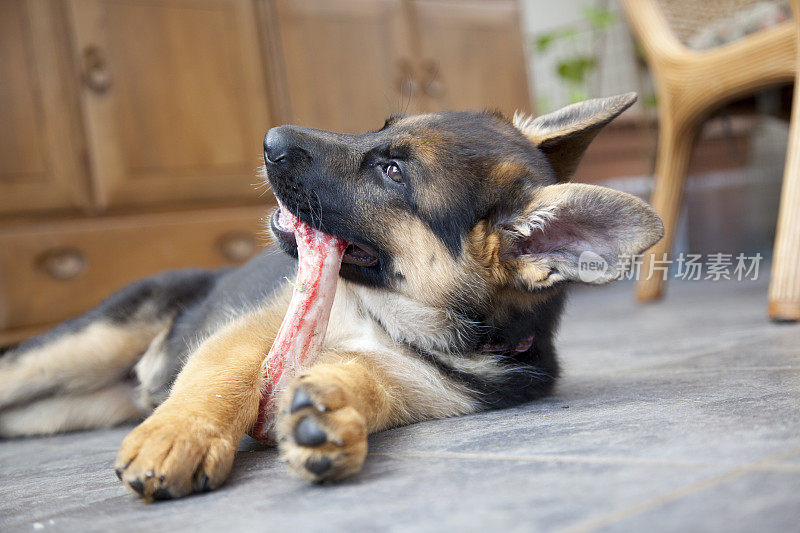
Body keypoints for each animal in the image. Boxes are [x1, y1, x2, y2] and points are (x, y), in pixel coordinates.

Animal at [0, 92, 664, 498]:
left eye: (393, 172)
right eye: (382, 128)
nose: (268, 138)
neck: (393, 317)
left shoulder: (429, 382)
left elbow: (375, 380)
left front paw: (333, 411)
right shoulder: (256, 331)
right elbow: (225, 377)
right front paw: (183, 434)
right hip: (75, 350)